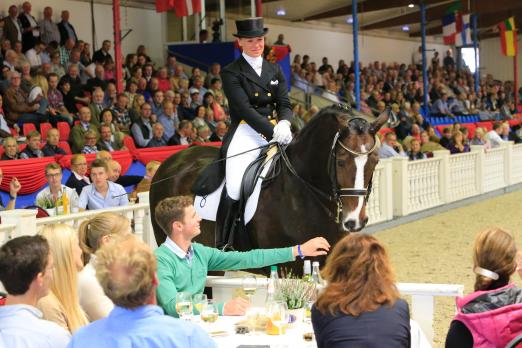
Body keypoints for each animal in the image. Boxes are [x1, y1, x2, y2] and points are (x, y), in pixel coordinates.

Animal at [148, 104, 388, 274]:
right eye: (341, 161)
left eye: (375, 161)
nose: (355, 221)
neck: (302, 193)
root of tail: (169, 163)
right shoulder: (286, 267)